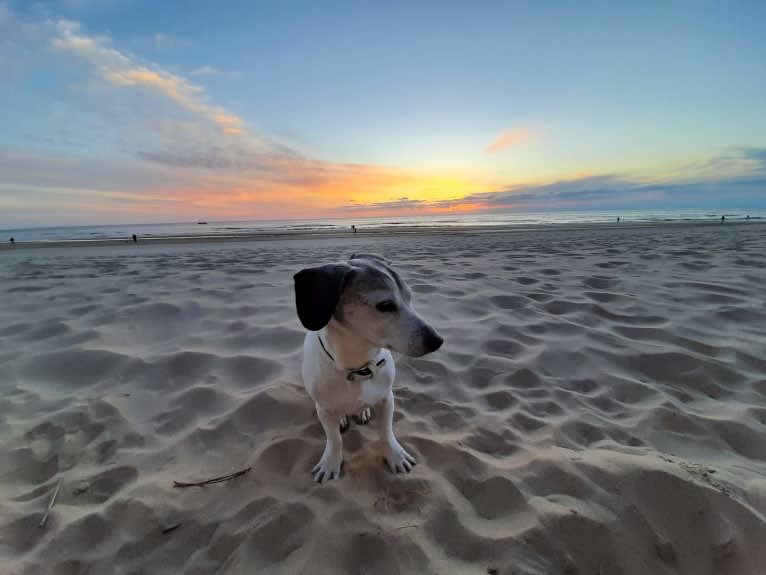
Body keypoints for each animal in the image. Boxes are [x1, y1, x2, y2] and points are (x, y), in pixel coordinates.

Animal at [296, 254, 448, 484]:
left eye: (409, 297)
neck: (357, 367)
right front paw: (331, 461)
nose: (437, 341)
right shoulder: (323, 409)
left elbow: (386, 432)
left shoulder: (386, 399)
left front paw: (394, 455)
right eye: (385, 305)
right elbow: (334, 439)